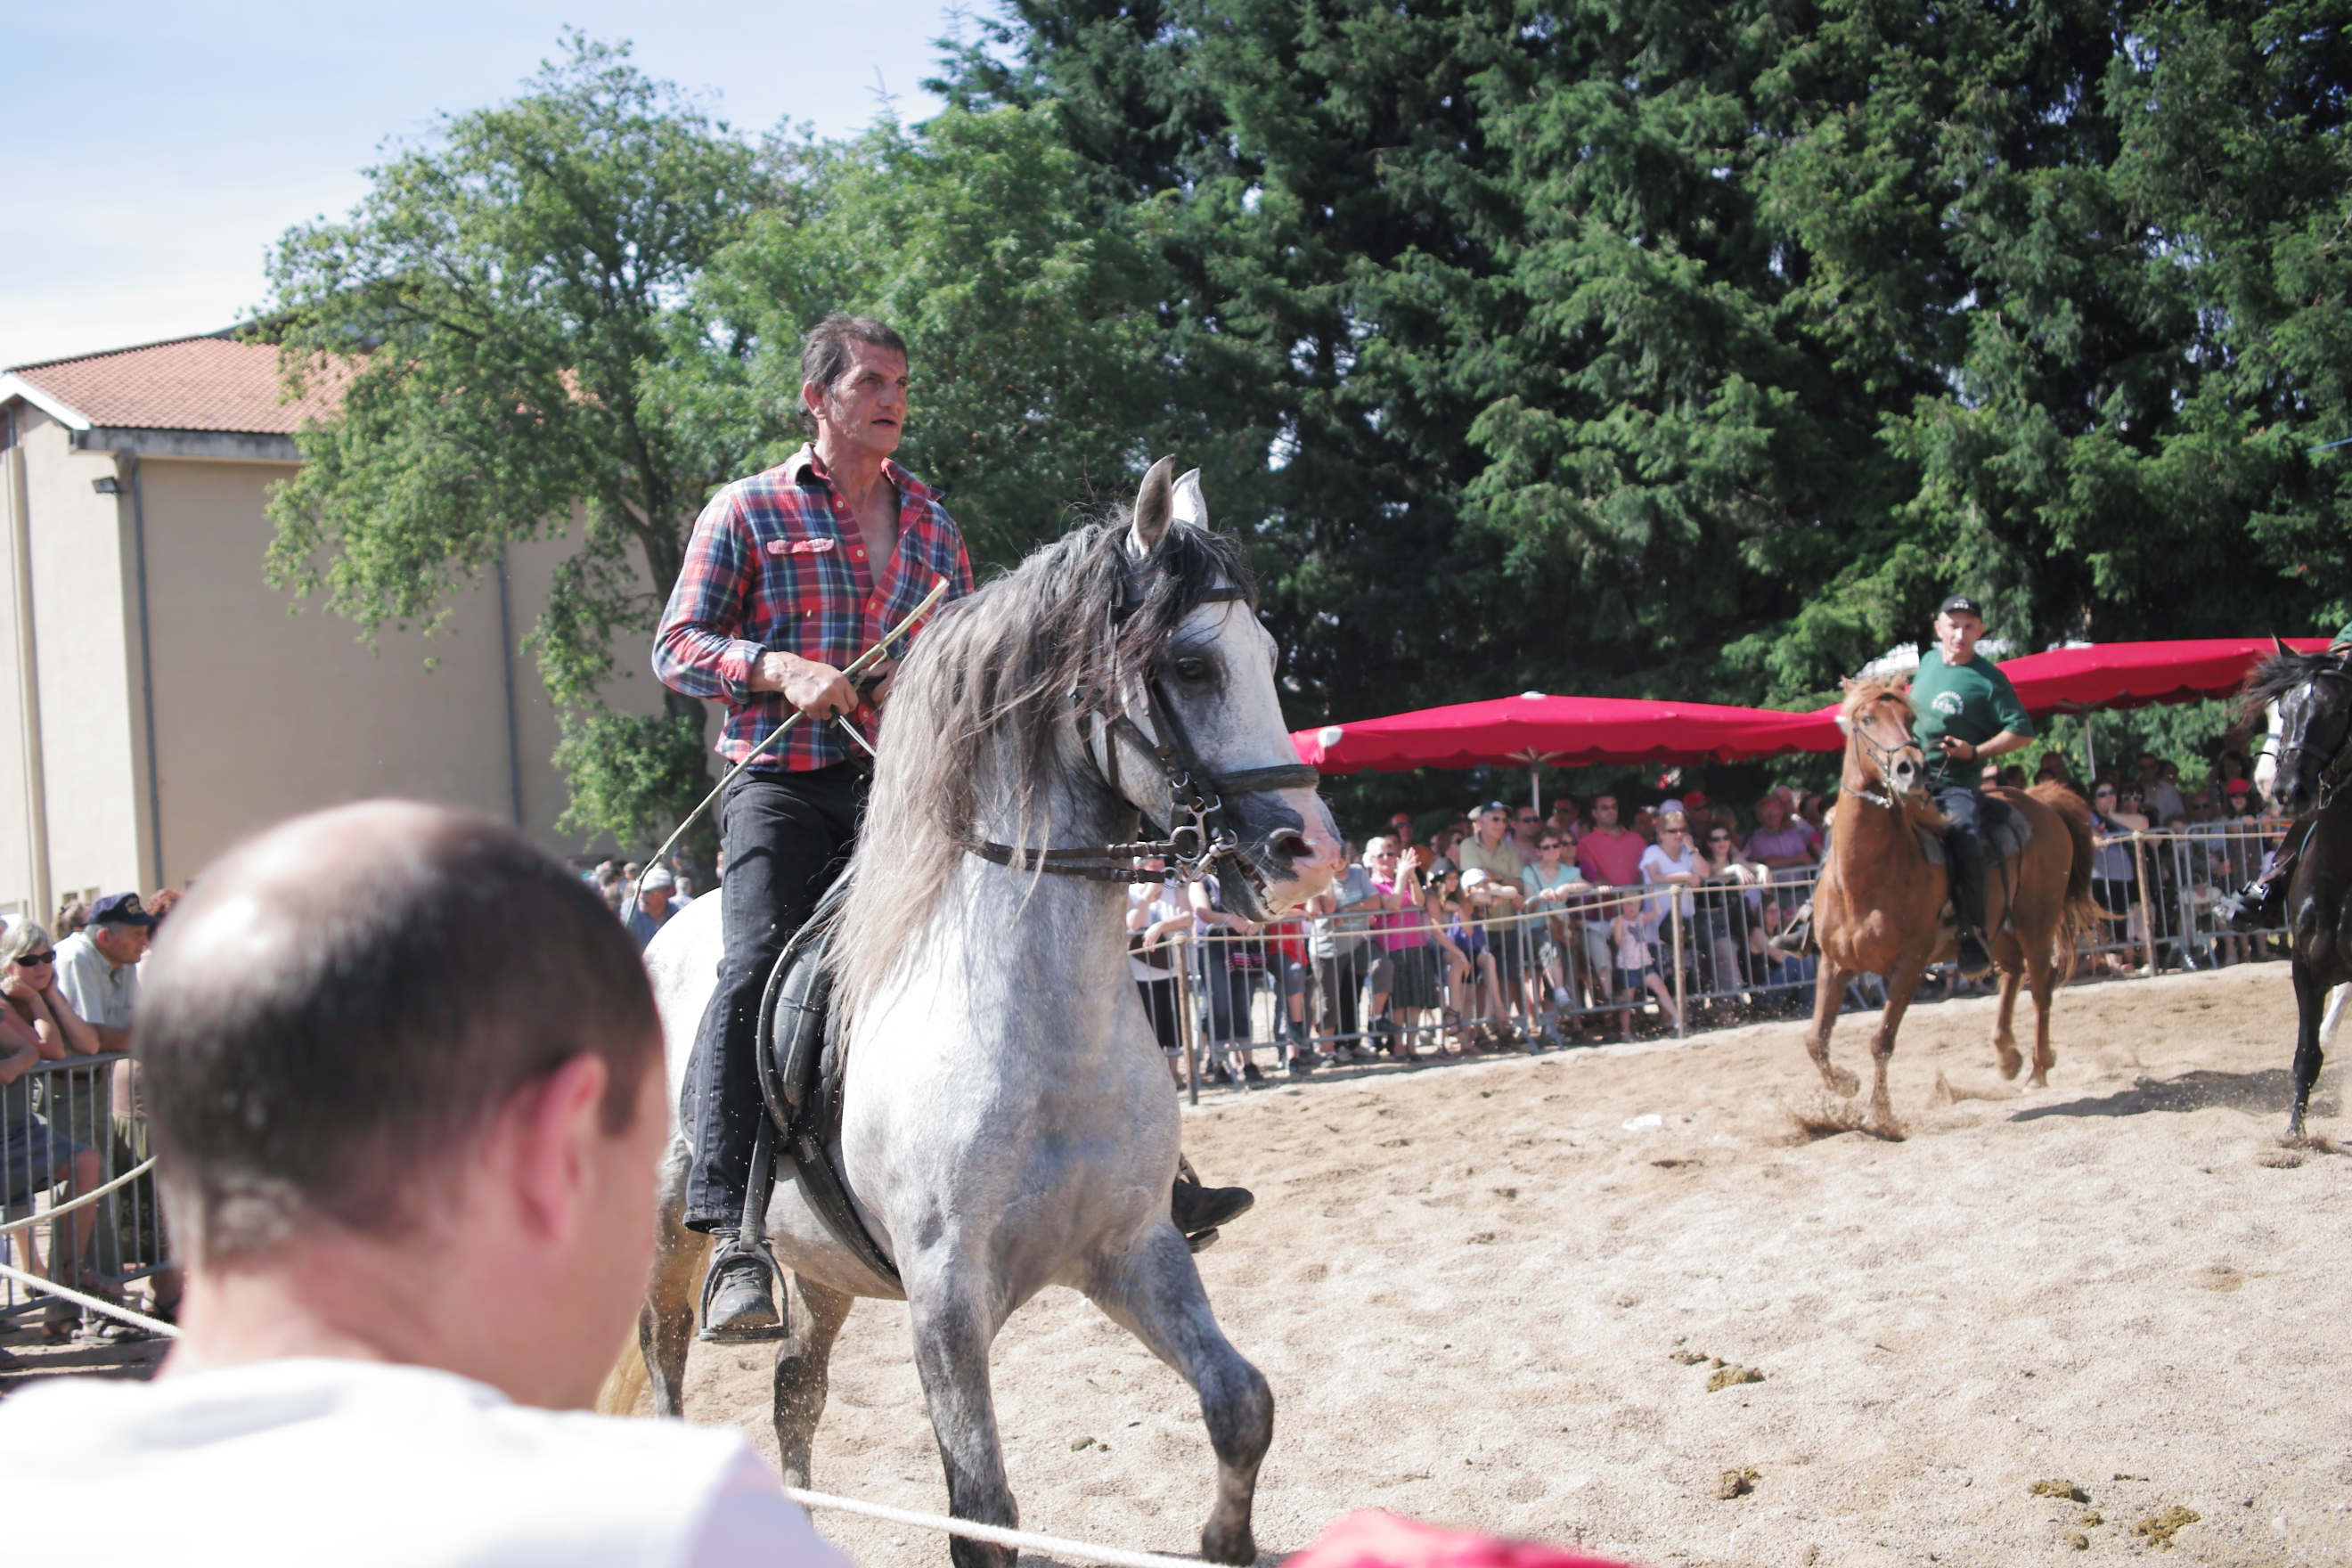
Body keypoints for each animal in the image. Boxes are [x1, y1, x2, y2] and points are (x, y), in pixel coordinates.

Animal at [1796, 682, 2097, 1132]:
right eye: (1866, 719)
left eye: (1909, 720)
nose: (1912, 769)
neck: (1863, 878)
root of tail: (2041, 802)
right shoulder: (1835, 963)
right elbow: (1816, 1040)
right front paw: (1846, 1085)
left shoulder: (1911, 964)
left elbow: (1882, 1040)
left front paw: (1880, 1117)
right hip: (1997, 928)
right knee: (2013, 973)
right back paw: (2007, 1055)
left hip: (2036, 921)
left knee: (2041, 986)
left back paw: (2037, 1070)